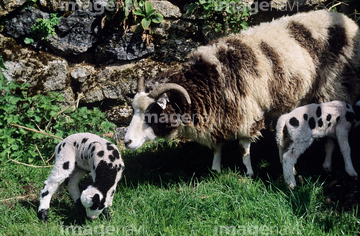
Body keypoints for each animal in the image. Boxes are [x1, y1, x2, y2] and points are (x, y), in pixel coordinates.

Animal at [123, 9, 360, 175]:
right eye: (134, 111)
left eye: (152, 114)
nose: (126, 142)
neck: (210, 78)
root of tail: (346, 20)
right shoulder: (220, 115)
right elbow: (217, 147)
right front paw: (216, 169)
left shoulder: (247, 113)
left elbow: (244, 148)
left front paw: (249, 172)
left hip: (333, 88)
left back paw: (327, 164)